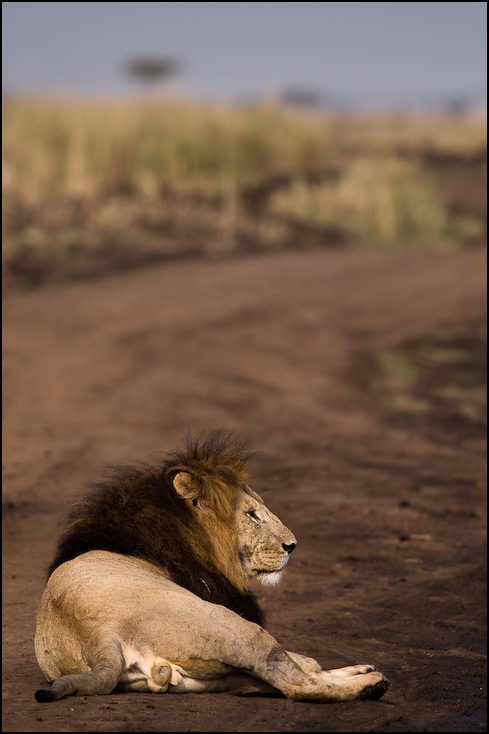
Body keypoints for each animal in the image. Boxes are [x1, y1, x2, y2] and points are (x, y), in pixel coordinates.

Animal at [34, 434, 388, 704]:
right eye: (252, 514)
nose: (292, 545)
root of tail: (100, 636)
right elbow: (299, 664)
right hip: (232, 629)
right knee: (294, 681)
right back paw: (369, 685)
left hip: (204, 677)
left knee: (265, 681)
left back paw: (360, 674)